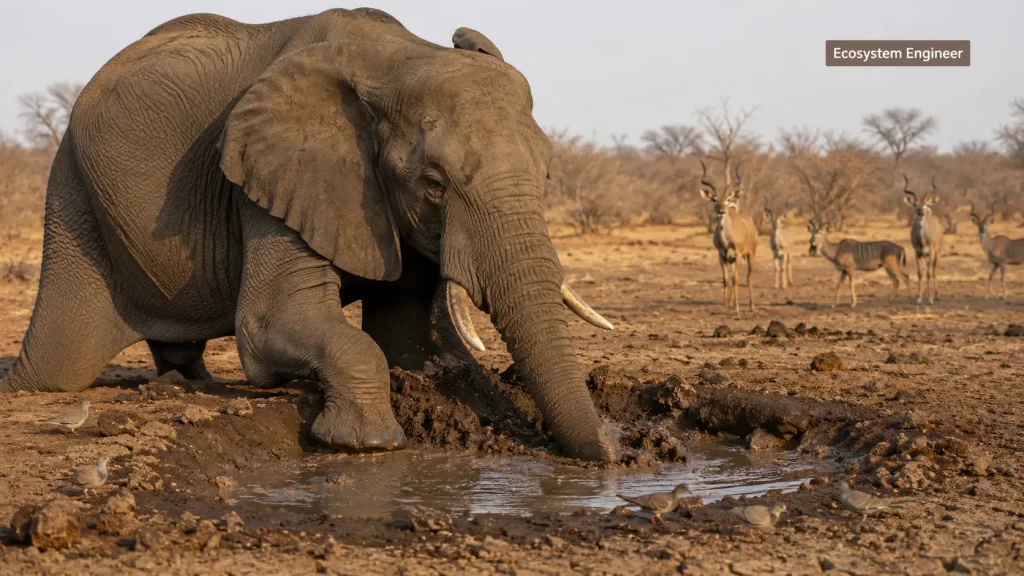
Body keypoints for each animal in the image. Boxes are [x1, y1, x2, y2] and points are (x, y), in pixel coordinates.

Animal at [0, 8, 621, 463]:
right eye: (434, 185)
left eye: (546, 175)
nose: (614, 453)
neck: (395, 58)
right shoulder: (270, 176)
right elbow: (273, 323)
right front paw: (365, 443)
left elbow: (413, 347)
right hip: (72, 191)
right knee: (59, 364)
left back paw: (189, 384)